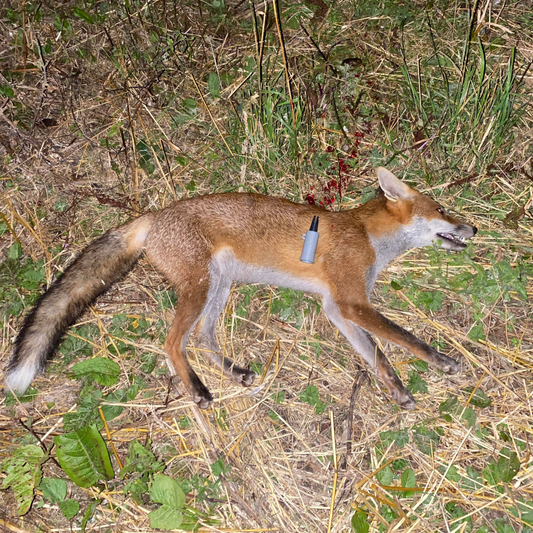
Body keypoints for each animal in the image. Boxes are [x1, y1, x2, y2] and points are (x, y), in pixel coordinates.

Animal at [6, 168, 476, 410]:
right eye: (442, 209)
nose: (473, 228)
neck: (366, 236)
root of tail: (155, 214)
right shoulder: (351, 301)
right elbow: (403, 338)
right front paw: (443, 361)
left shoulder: (338, 308)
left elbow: (377, 355)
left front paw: (397, 390)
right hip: (201, 287)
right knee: (172, 342)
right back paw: (198, 391)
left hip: (218, 285)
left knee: (202, 339)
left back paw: (234, 371)